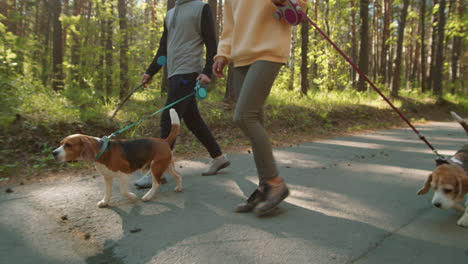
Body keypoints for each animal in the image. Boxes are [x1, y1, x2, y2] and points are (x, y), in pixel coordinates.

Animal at [52, 108, 181, 207]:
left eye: (68, 145)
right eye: (61, 143)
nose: (53, 153)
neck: (103, 150)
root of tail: (164, 141)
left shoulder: (123, 174)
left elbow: (123, 191)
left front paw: (132, 197)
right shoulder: (107, 177)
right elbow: (107, 192)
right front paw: (104, 202)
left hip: (156, 167)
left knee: (157, 183)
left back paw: (147, 196)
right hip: (166, 165)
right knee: (178, 175)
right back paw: (179, 188)